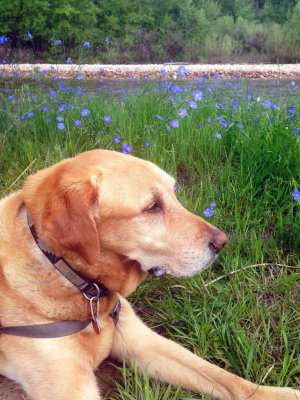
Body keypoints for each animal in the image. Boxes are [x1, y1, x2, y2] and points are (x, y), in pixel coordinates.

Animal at [0, 150, 298, 400]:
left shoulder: (140, 340)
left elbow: (224, 377)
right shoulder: (70, 388)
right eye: (152, 206)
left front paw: (278, 394)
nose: (222, 242)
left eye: (174, 193)